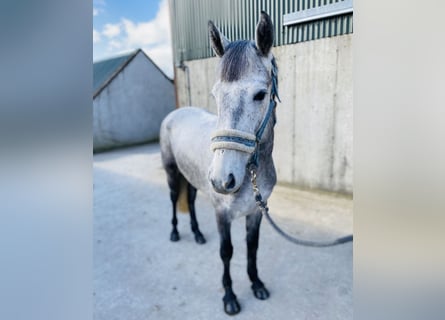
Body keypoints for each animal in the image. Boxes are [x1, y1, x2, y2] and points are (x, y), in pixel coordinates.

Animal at [160, 12, 276, 316]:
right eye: (215, 95)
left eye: (260, 94)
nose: (223, 180)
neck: (251, 173)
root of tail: (176, 113)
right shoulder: (222, 214)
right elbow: (227, 253)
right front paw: (230, 298)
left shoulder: (255, 212)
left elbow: (252, 248)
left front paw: (257, 284)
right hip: (172, 173)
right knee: (175, 198)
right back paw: (175, 233)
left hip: (193, 178)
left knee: (189, 199)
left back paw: (198, 234)